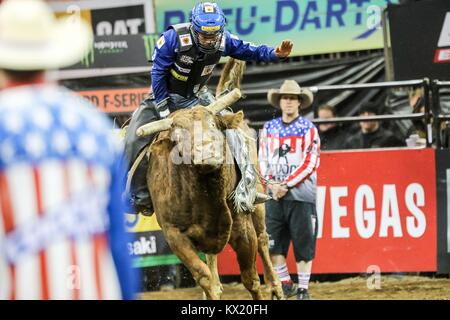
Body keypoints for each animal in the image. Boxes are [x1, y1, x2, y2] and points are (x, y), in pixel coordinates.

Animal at [135, 58, 284, 300]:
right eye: (178, 137)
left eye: (213, 125)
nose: (206, 154)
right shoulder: (174, 234)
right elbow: (204, 277)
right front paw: (212, 288)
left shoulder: (242, 227)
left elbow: (250, 278)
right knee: (212, 258)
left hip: (257, 200)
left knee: (263, 238)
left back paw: (275, 285)